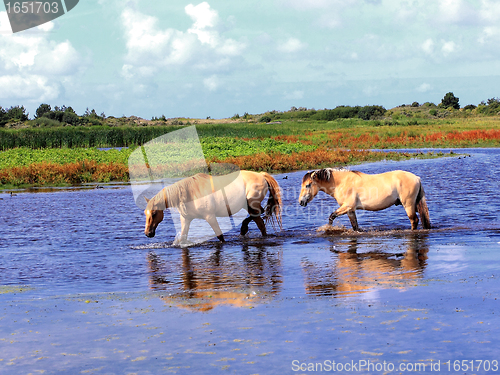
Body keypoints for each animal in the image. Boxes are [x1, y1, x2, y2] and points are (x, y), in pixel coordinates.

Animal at [145, 171, 284, 247]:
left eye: (154, 213)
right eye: (146, 213)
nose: (148, 233)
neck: (189, 193)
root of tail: (261, 175)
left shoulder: (209, 216)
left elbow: (220, 236)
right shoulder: (186, 219)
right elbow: (183, 238)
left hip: (251, 203)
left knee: (260, 214)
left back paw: (244, 228)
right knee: (260, 222)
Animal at [298, 169, 432, 231]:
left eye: (308, 185)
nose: (301, 202)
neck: (341, 183)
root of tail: (417, 178)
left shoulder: (347, 206)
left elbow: (332, 216)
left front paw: (329, 228)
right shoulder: (350, 210)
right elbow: (355, 226)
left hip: (408, 204)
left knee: (414, 220)